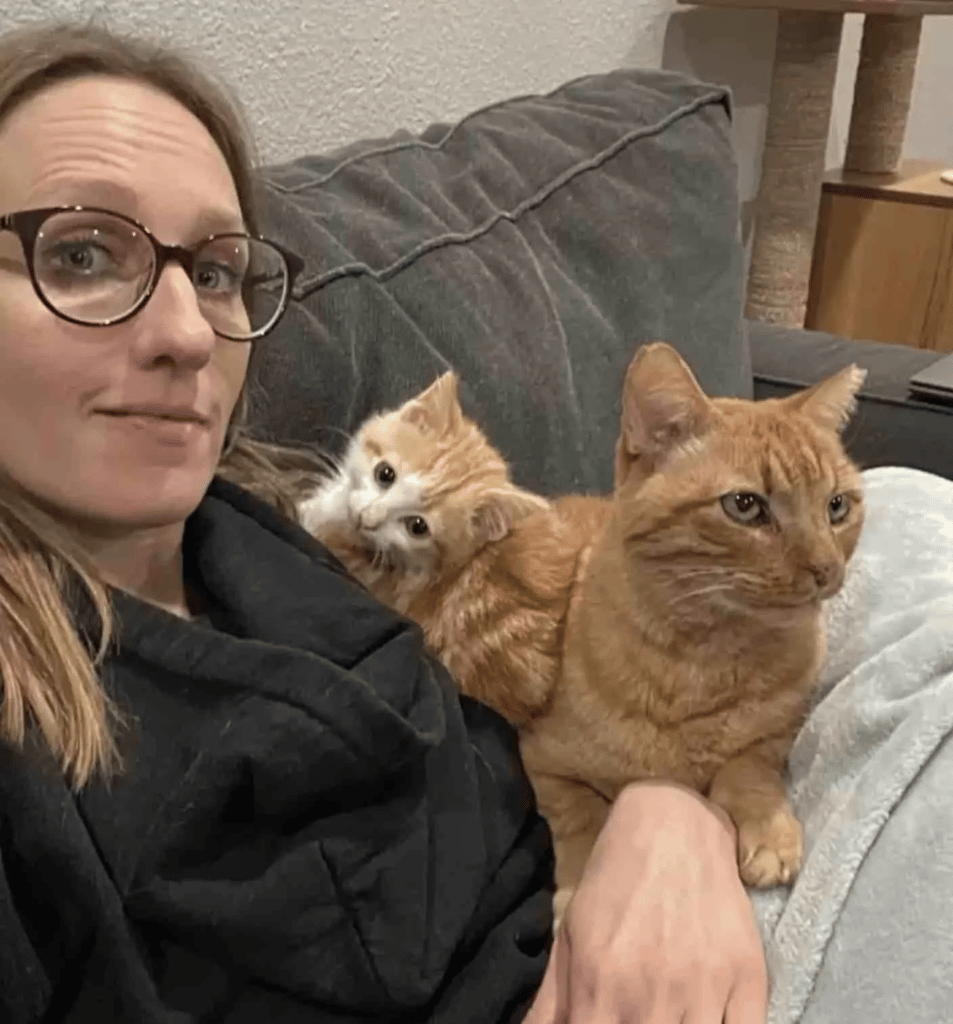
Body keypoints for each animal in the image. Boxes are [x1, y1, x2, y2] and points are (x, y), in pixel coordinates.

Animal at [517, 342, 868, 913]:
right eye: (745, 506)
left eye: (837, 506)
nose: (826, 570)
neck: (703, 656)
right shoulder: (544, 763)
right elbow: (579, 817)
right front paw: (581, 884)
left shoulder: (776, 734)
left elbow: (749, 768)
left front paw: (769, 831)